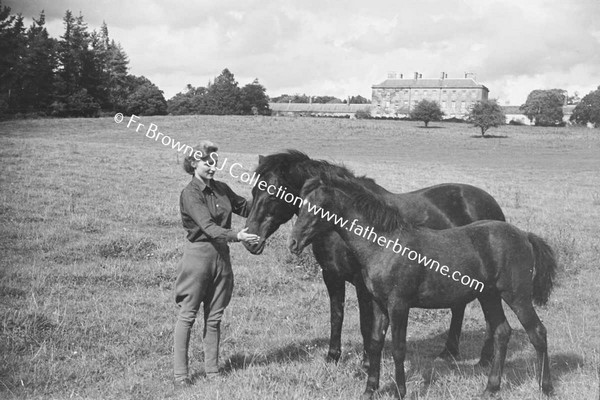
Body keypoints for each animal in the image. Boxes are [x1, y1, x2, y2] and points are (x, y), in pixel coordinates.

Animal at [241, 149, 504, 366]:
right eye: (254, 190)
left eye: (273, 193)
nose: (250, 239)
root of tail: (491, 204)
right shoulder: (332, 276)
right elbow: (336, 316)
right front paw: (333, 357)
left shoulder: (362, 284)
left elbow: (366, 324)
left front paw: (367, 364)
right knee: (459, 307)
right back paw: (449, 352)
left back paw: (483, 358)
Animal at [288, 173, 556, 398]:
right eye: (299, 204)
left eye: (317, 206)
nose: (293, 243)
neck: (385, 244)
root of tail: (524, 235)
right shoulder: (378, 304)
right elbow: (375, 343)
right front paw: (370, 389)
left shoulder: (399, 305)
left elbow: (398, 348)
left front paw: (400, 391)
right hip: (489, 296)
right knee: (502, 332)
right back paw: (491, 388)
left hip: (517, 296)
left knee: (538, 332)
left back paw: (546, 387)